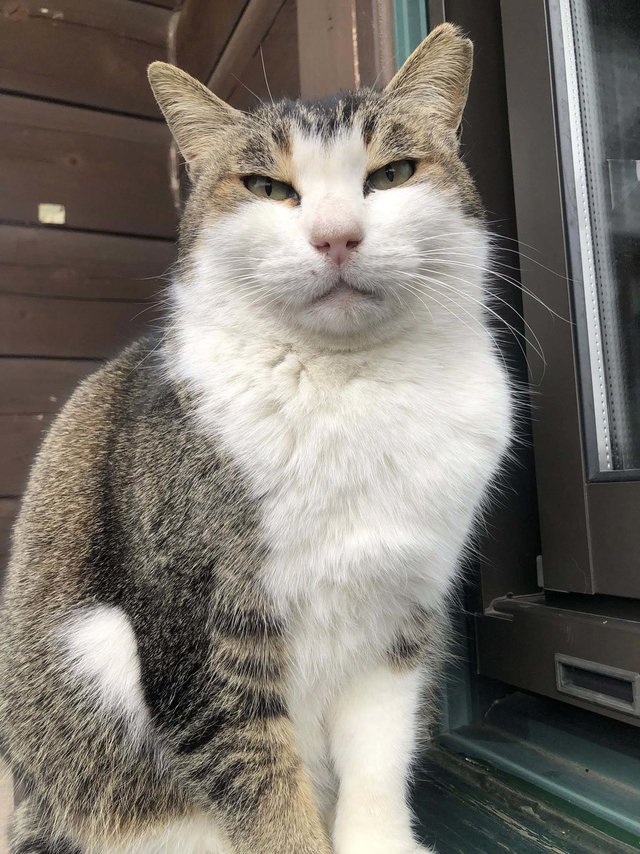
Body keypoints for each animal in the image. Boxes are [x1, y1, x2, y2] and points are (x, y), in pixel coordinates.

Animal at [0, 23, 511, 854]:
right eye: (267, 188)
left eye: (393, 174)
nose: (337, 237)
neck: (347, 388)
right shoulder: (197, 639)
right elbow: (263, 789)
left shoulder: (399, 617)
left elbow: (378, 762)